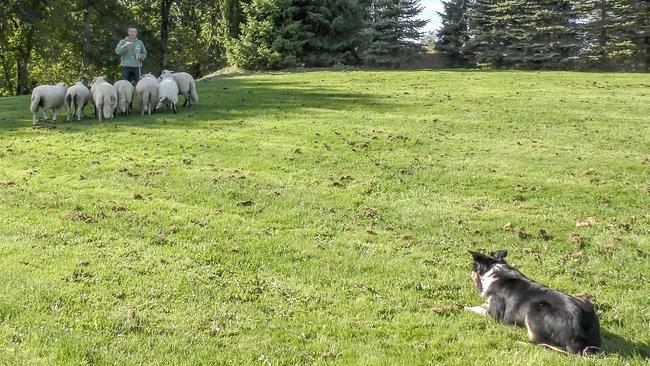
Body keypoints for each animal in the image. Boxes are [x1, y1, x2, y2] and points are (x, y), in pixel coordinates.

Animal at [466, 250, 596, 356]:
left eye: (472, 269)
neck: (495, 271)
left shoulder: (493, 313)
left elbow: (476, 308)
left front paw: (464, 307)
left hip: (534, 310)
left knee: (538, 343)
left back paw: (519, 342)